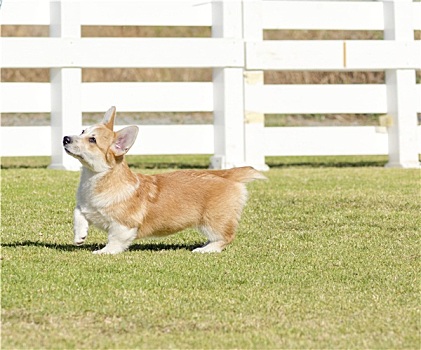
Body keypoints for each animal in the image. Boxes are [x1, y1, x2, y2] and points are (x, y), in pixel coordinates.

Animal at [62, 106, 266, 254]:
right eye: (82, 131)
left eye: (92, 140)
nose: (65, 138)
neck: (95, 178)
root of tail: (227, 174)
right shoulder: (84, 207)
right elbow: (78, 214)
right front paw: (80, 236)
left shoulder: (124, 225)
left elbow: (115, 240)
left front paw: (104, 252)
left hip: (212, 220)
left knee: (226, 237)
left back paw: (205, 249)